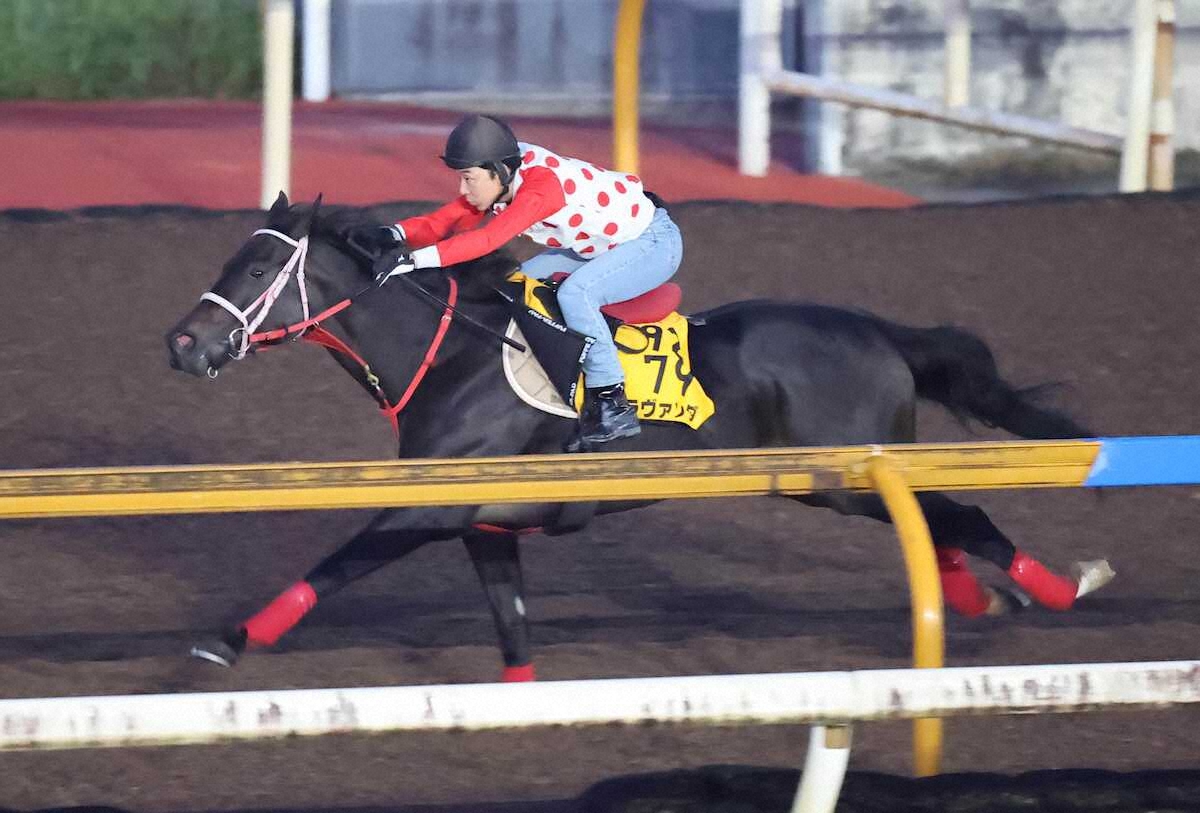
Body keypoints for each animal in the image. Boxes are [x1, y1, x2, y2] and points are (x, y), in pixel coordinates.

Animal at [165, 193, 1113, 682]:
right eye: (226, 260)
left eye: (257, 267)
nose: (181, 343)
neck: (451, 355)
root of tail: (880, 330)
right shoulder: (485, 521)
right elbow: (513, 633)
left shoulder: (428, 507)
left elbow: (333, 564)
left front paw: (227, 640)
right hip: (840, 480)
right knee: (937, 519)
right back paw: (983, 598)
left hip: (841, 479)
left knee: (965, 515)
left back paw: (1061, 585)